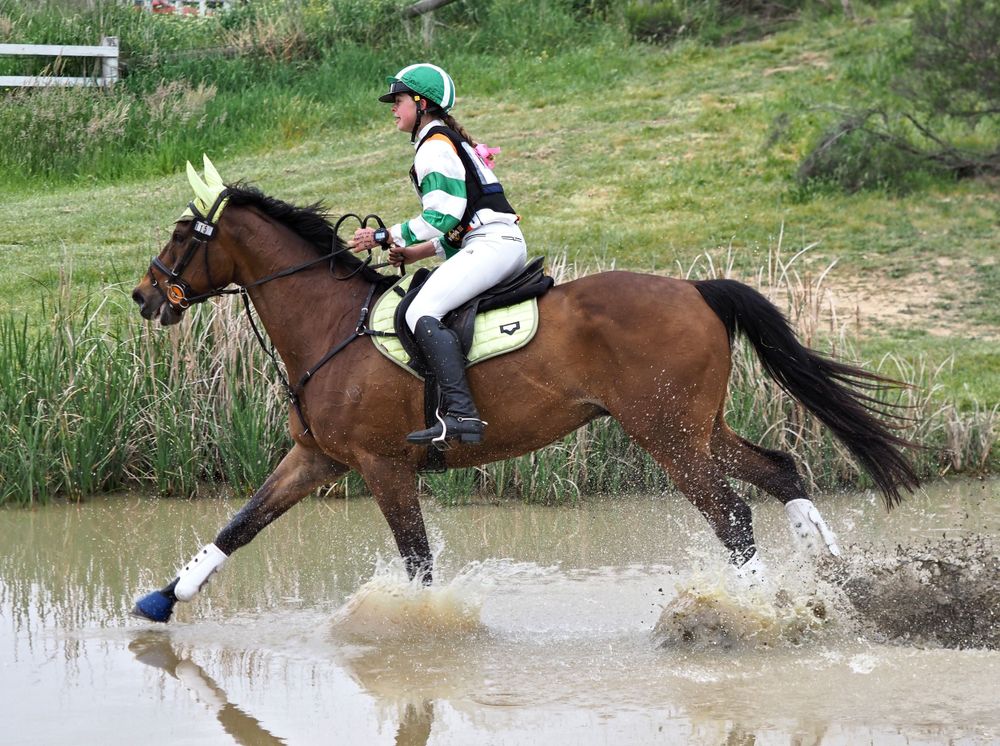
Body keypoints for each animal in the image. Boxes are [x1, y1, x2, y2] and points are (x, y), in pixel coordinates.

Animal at [130, 159, 919, 622]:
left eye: (184, 236)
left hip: (666, 435)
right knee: (779, 471)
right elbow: (239, 525)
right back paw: (828, 578)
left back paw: (762, 614)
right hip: (697, 427)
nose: (144, 296)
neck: (330, 326)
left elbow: (417, 561)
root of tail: (695, 289)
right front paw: (163, 599)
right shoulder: (317, 458)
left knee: (731, 515)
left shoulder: (384, 466)